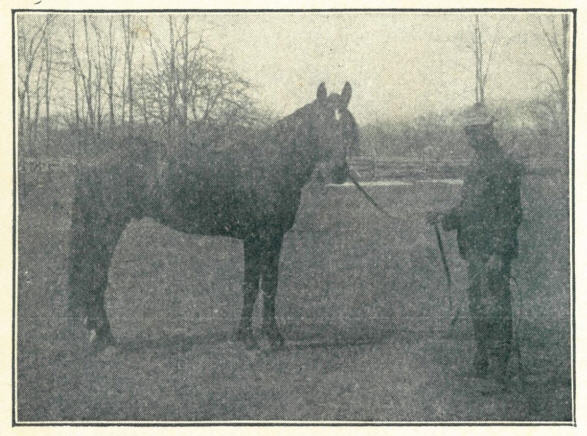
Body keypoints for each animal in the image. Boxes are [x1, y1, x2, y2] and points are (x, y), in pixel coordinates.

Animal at [68, 83, 358, 352]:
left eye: (346, 125)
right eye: (321, 122)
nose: (338, 171)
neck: (270, 163)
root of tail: (93, 158)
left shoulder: (267, 238)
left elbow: (262, 285)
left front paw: (258, 336)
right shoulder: (259, 237)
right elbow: (257, 285)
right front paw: (259, 338)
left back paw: (99, 333)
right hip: (107, 227)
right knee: (95, 274)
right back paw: (104, 338)